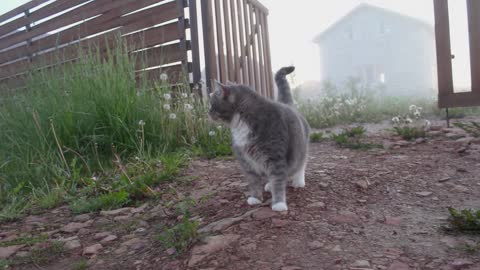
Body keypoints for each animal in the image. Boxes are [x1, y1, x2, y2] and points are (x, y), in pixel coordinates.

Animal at [208, 66, 310, 211]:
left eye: (212, 104)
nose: (208, 112)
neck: (241, 123)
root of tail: (288, 105)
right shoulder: (246, 161)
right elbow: (254, 182)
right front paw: (255, 198)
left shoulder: (275, 158)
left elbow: (278, 181)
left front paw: (279, 204)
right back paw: (269, 185)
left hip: (302, 148)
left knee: (301, 163)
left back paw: (298, 181)